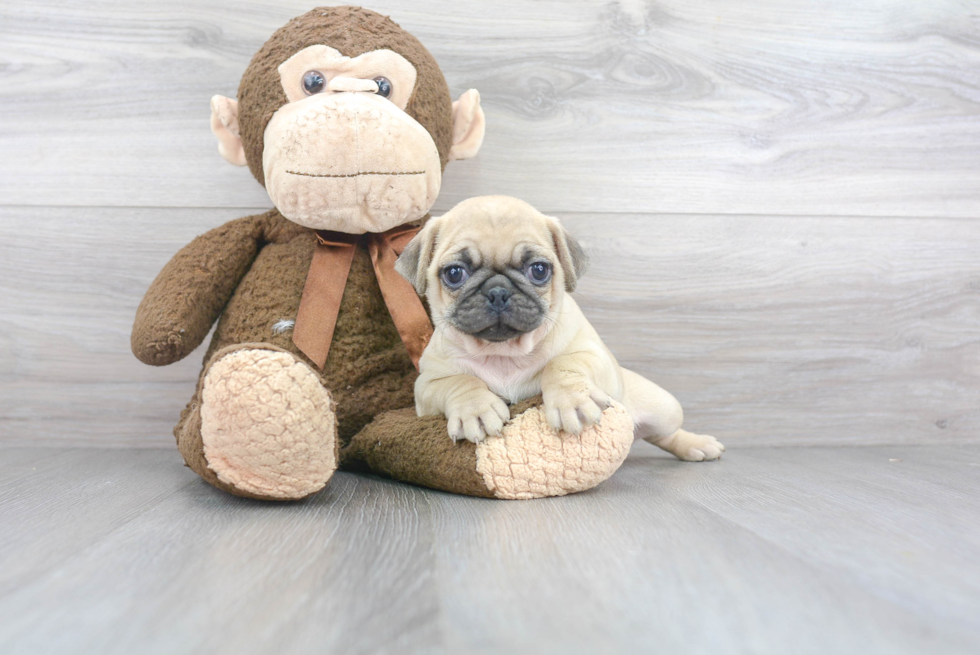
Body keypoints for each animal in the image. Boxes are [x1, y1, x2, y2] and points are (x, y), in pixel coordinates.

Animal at [394, 195, 724, 462]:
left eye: (539, 270)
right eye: (454, 274)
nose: (498, 291)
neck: (505, 354)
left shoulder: (597, 358)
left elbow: (562, 363)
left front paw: (572, 402)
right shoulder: (426, 387)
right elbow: (459, 381)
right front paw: (474, 409)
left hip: (664, 408)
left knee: (665, 432)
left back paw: (697, 445)